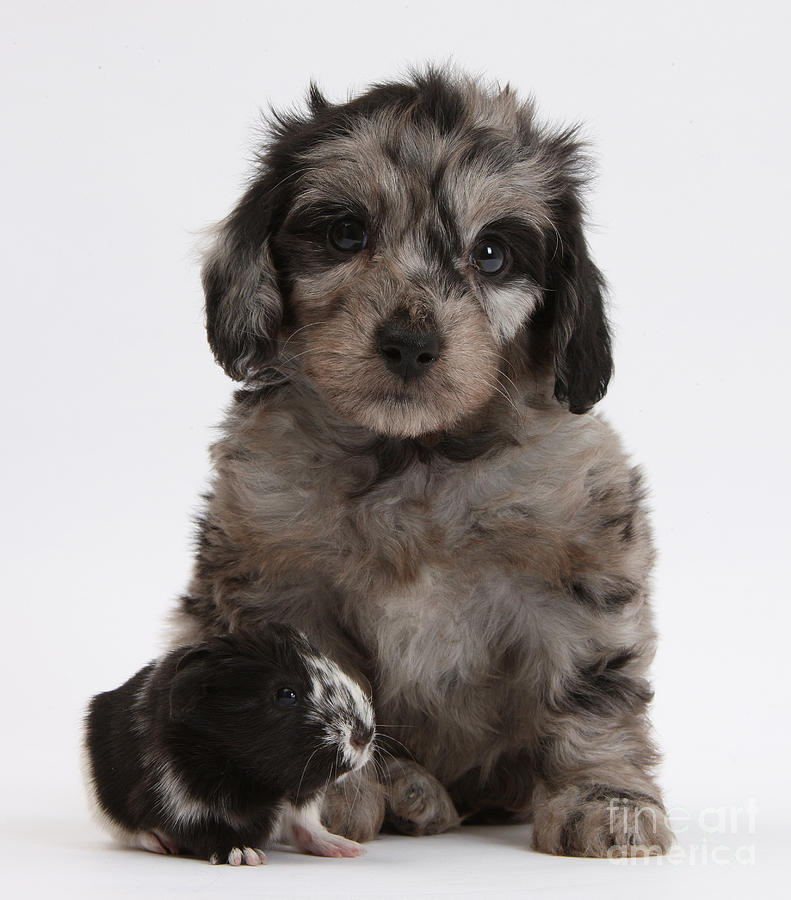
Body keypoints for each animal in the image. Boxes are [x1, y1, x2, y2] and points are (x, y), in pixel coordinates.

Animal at [173, 68, 676, 856]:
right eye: (346, 233)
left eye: (492, 253)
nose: (409, 344)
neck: (415, 455)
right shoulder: (280, 577)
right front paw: (337, 796)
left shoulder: (579, 566)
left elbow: (593, 688)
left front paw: (607, 799)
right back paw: (412, 793)